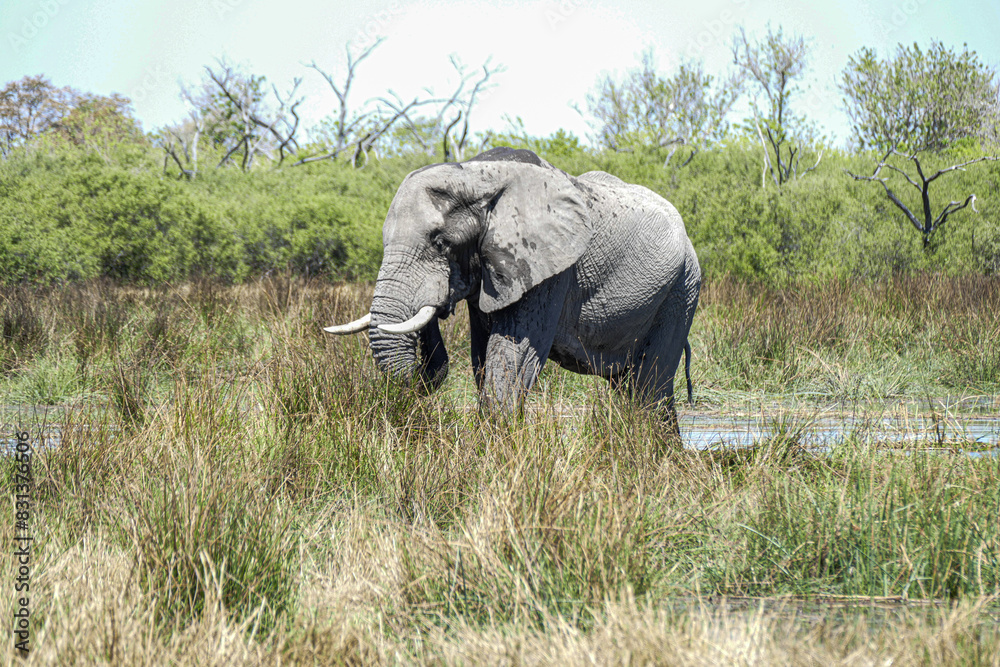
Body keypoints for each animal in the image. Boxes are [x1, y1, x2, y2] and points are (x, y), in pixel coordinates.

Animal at [326, 147, 701, 432]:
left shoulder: (550, 271)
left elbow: (512, 355)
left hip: (682, 290)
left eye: (441, 243)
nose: (437, 304)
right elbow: (482, 357)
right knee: (636, 386)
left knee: (650, 386)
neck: (477, 173)